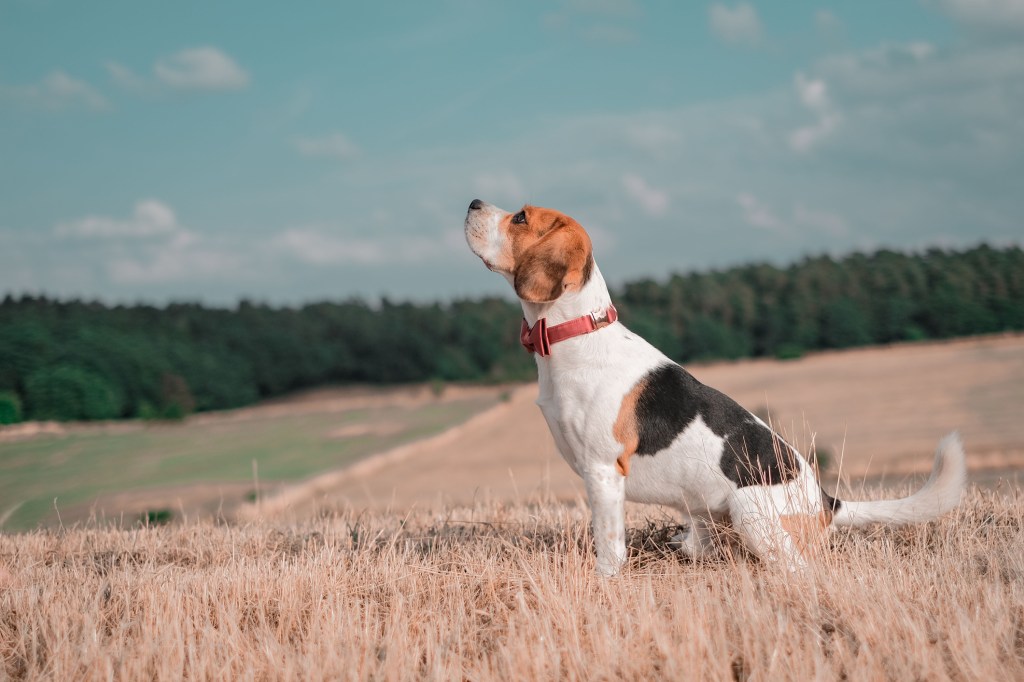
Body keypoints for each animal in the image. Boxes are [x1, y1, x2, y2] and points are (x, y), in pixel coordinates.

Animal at [466, 197, 966, 573]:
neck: (577, 332)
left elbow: (608, 548)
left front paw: (603, 582)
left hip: (749, 512)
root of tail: (826, 501)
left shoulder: (603, 473)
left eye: (521, 217)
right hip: (705, 514)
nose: (473, 202)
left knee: (796, 568)